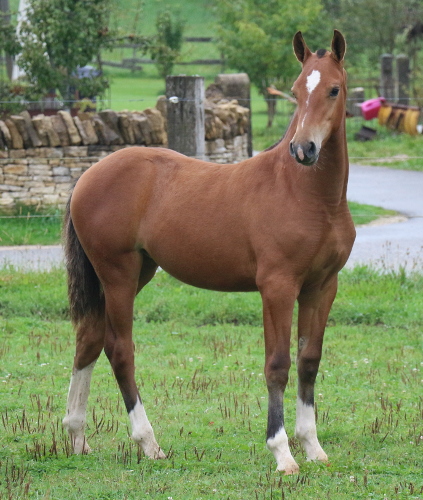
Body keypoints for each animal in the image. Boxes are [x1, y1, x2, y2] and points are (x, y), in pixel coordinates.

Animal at [62, 29, 354, 474]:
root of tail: (86, 177)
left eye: (333, 89)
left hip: (133, 272)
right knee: (119, 348)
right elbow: (277, 365)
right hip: (118, 274)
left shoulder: (321, 287)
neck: (308, 195)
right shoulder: (277, 287)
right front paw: (282, 453)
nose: (303, 149)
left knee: (89, 339)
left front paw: (312, 446)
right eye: (295, 90)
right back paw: (148, 443)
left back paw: (78, 435)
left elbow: (309, 362)